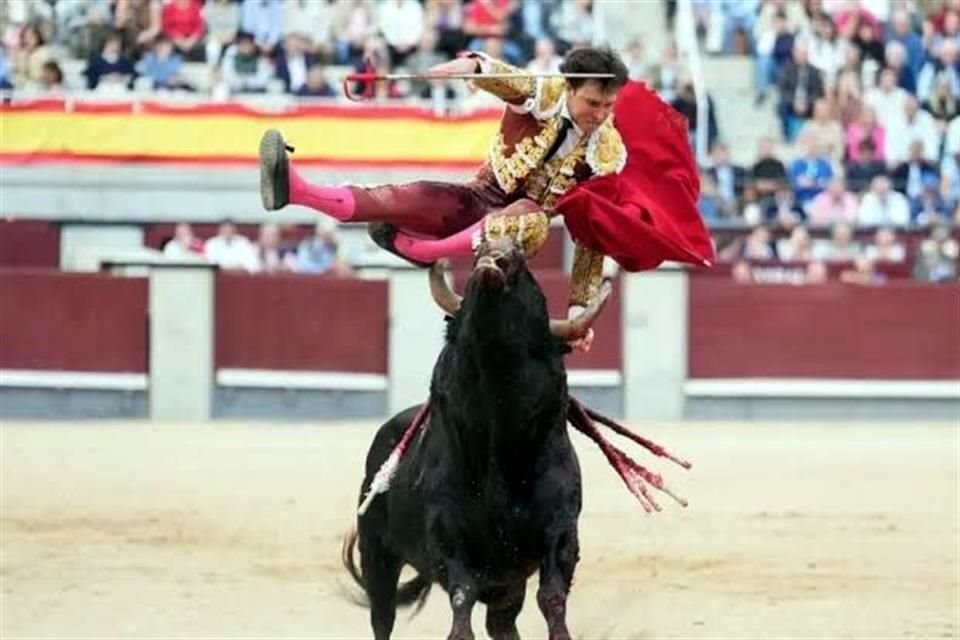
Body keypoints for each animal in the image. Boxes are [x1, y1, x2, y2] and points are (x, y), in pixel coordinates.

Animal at [342, 240, 608, 640]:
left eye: (529, 278)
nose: (495, 250)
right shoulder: (447, 531)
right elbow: (462, 595)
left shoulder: (561, 528)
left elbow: (552, 596)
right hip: (377, 553)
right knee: (382, 616)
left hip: (506, 583)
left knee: (501, 623)